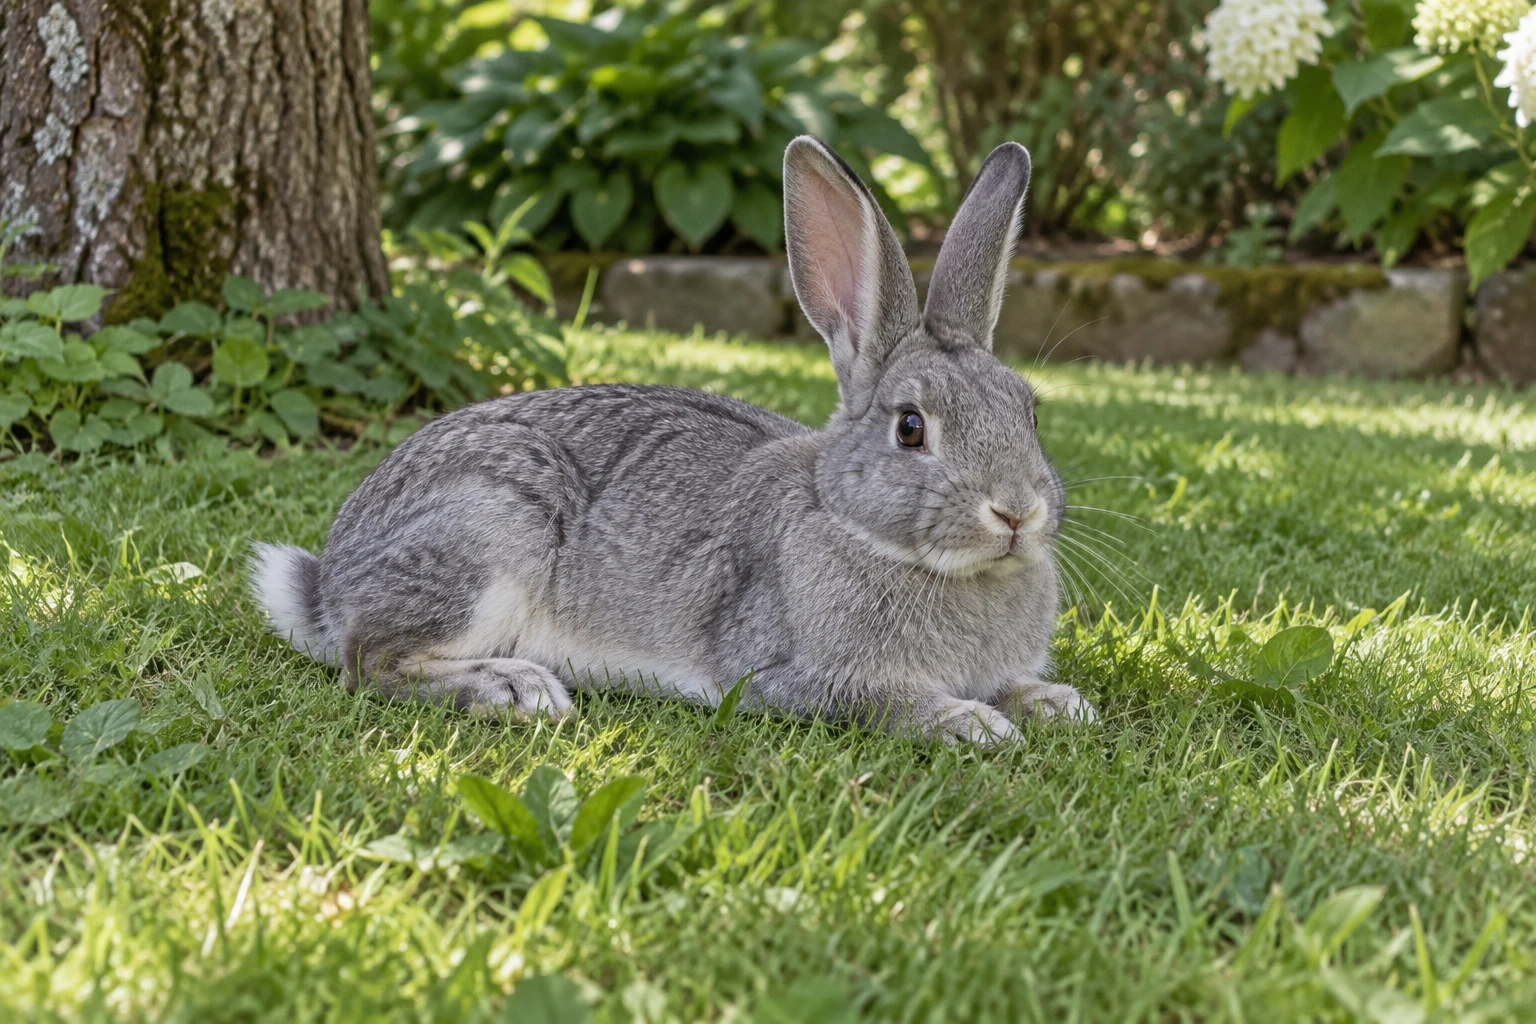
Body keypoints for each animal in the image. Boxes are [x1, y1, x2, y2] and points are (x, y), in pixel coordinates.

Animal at [249, 135, 1097, 744]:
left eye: (1029, 410)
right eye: (911, 428)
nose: (1016, 513)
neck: (856, 524)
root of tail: (329, 583)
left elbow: (1020, 685)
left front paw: (1059, 704)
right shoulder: (780, 674)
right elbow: (879, 699)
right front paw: (970, 723)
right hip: (487, 529)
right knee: (369, 662)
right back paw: (513, 689)